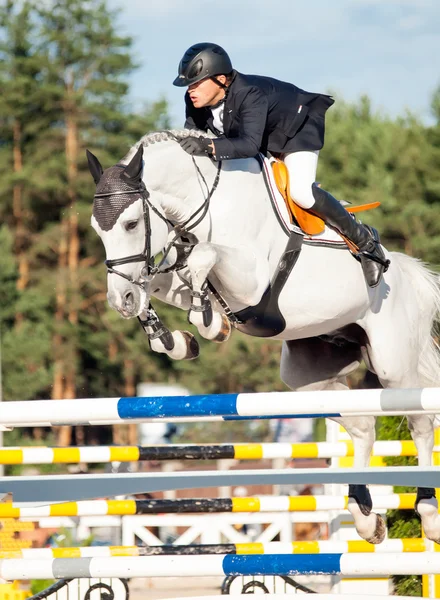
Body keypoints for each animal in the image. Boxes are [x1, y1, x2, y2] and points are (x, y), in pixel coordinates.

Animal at [87, 129, 440, 548]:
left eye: (129, 224)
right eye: (96, 229)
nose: (118, 301)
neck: (205, 203)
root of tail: (405, 271)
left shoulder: (251, 285)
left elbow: (201, 260)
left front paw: (206, 319)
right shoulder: (173, 274)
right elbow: (163, 281)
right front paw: (174, 338)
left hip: (394, 367)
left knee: (421, 423)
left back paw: (428, 513)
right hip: (309, 378)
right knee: (364, 425)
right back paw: (366, 517)